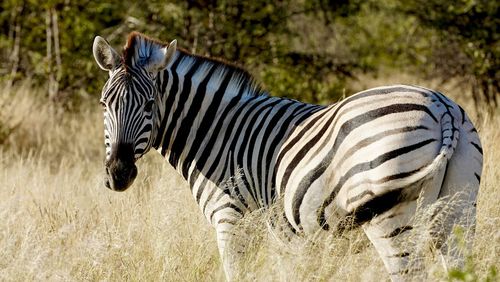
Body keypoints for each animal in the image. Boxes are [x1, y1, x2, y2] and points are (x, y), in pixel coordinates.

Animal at [93, 32, 480, 280]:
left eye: (149, 104)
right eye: (103, 104)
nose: (118, 175)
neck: (217, 130)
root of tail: (442, 106)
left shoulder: (231, 219)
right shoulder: (277, 233)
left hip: (390, 214)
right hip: (458, 209)